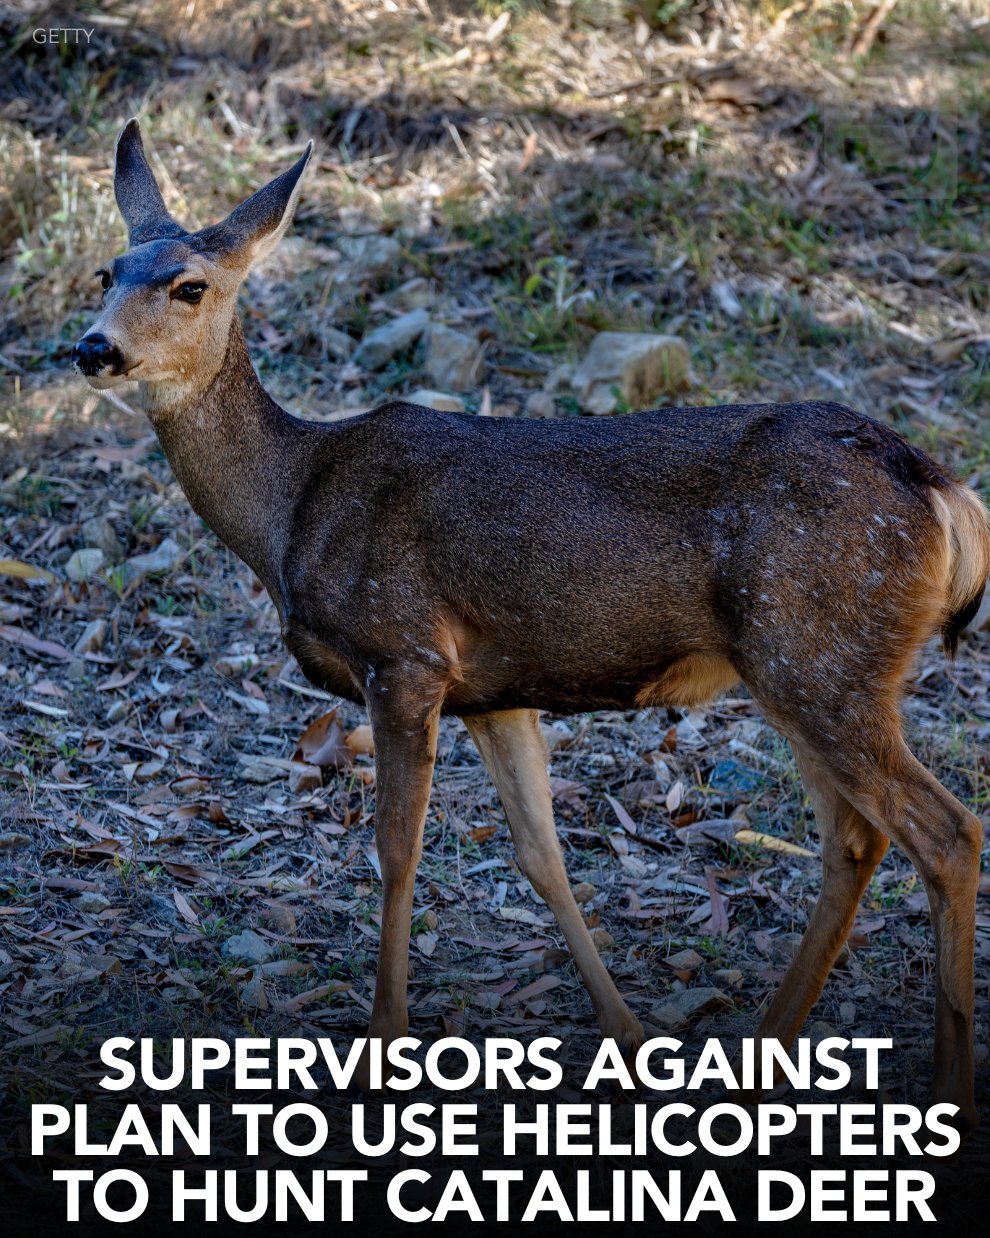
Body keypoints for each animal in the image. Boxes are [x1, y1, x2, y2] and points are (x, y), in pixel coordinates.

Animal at [74, 120, 989, 1125]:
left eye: (190, 285)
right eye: (107, 271)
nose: (92, 348)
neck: (290, 508)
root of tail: (941, 489)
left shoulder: (404, 652)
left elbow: (397, 852)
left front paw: (383, 1046)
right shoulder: (493, 690)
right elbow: (541, 854)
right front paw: (627, 1035)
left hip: (816, 655)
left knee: (946, 833)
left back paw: (941, 1088)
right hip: (811, 668)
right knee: (856, 841)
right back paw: (762, 1053)